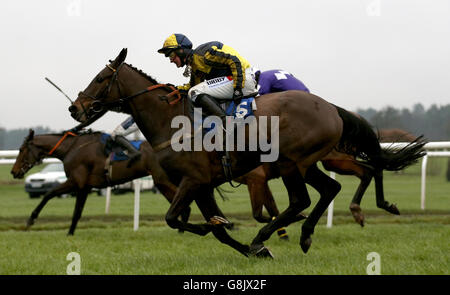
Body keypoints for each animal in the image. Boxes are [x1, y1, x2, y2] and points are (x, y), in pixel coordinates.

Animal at [67, 48, 426, 256]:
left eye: (101, 78)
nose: (75, 108)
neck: (172, 122)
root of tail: (330, 107)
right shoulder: (202, 184)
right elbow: (213, 229)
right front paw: (243, 244)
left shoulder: (194, 180)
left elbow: (176, 219)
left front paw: (240, 238)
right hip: (305, 163)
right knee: (330, 188)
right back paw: (304, 234)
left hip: (292, 161)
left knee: (302, 200)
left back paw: (273, 234)